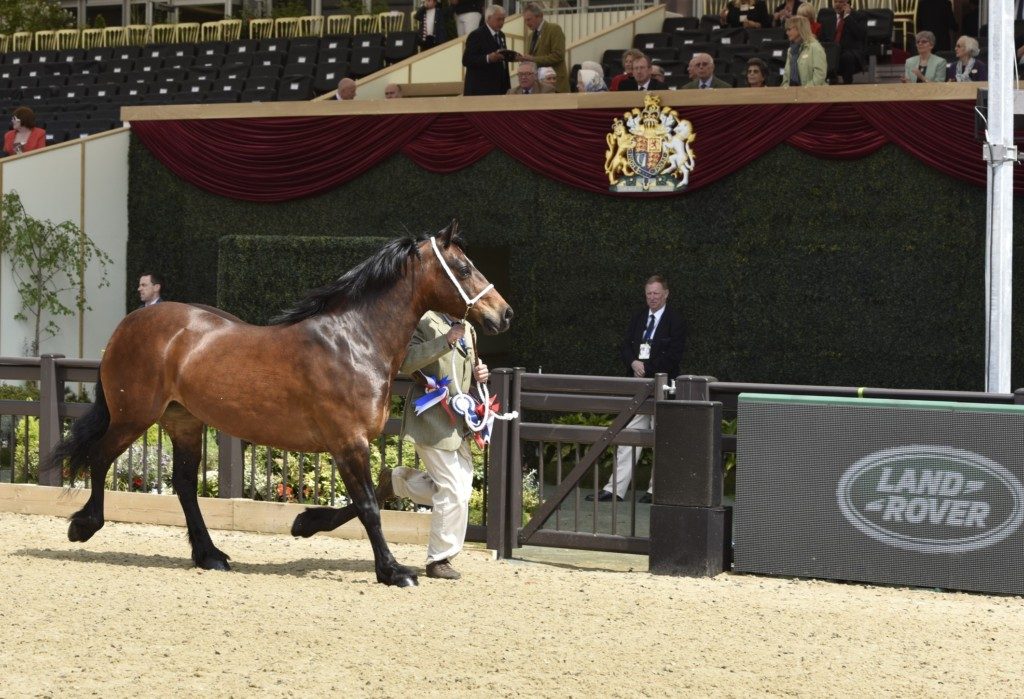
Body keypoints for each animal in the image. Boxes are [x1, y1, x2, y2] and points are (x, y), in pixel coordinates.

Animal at [48, 221, 512, 589]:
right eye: (465, 268)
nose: (504, 315)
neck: (355, 341)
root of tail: (128, 325)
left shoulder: (354, 444)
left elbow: (375, 494)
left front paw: (304, 523)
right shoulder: (348, 443)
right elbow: (369, 506)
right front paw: (393, 571)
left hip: (184, 422)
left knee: (183, 486)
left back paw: (210, 555)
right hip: (134, 417)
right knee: (100, 458)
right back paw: (83, 526)